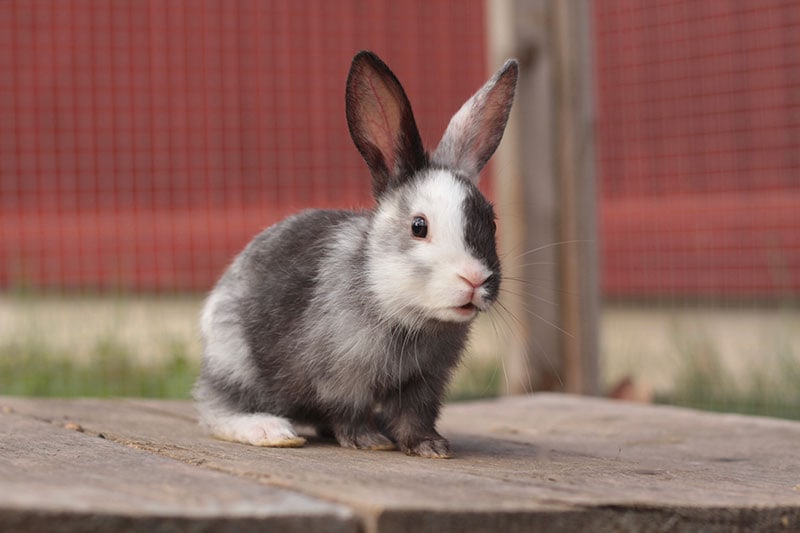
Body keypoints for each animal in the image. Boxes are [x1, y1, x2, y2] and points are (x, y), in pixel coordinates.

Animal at [194, 51, 518, 458]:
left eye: (491, 222)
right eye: (419, 226)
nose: (474, 279)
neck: (406, 315)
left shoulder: (424, 383)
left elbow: (415, 417)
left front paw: (431, 447)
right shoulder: (342, 376)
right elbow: (348, 410)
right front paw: (369, 441)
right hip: (235, 361)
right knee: (213, 408)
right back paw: (270, 430)